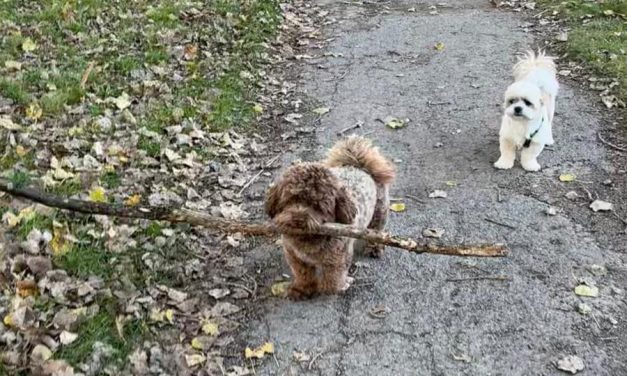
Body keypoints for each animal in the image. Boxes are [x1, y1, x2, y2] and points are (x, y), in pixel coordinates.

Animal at [266, 137, 394, 298]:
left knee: (377, 230)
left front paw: (341, 285)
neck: (309, 240)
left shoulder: (337, 259)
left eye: (318, 206)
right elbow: (303, 274)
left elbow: (331, 283)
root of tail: (359, 166)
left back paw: (375, 247)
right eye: (290, 199)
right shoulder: (295, 257)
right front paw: (302, 289)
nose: (298, 220)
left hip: (380, 211)